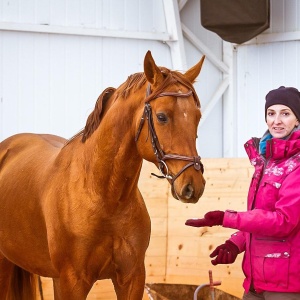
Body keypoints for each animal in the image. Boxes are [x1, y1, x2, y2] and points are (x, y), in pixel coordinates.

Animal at [0, 50, 205, 298]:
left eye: (197, 117)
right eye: (162, 116)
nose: (193, 185)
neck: (104, 197)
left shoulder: (132, 278)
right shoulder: (72, 282)